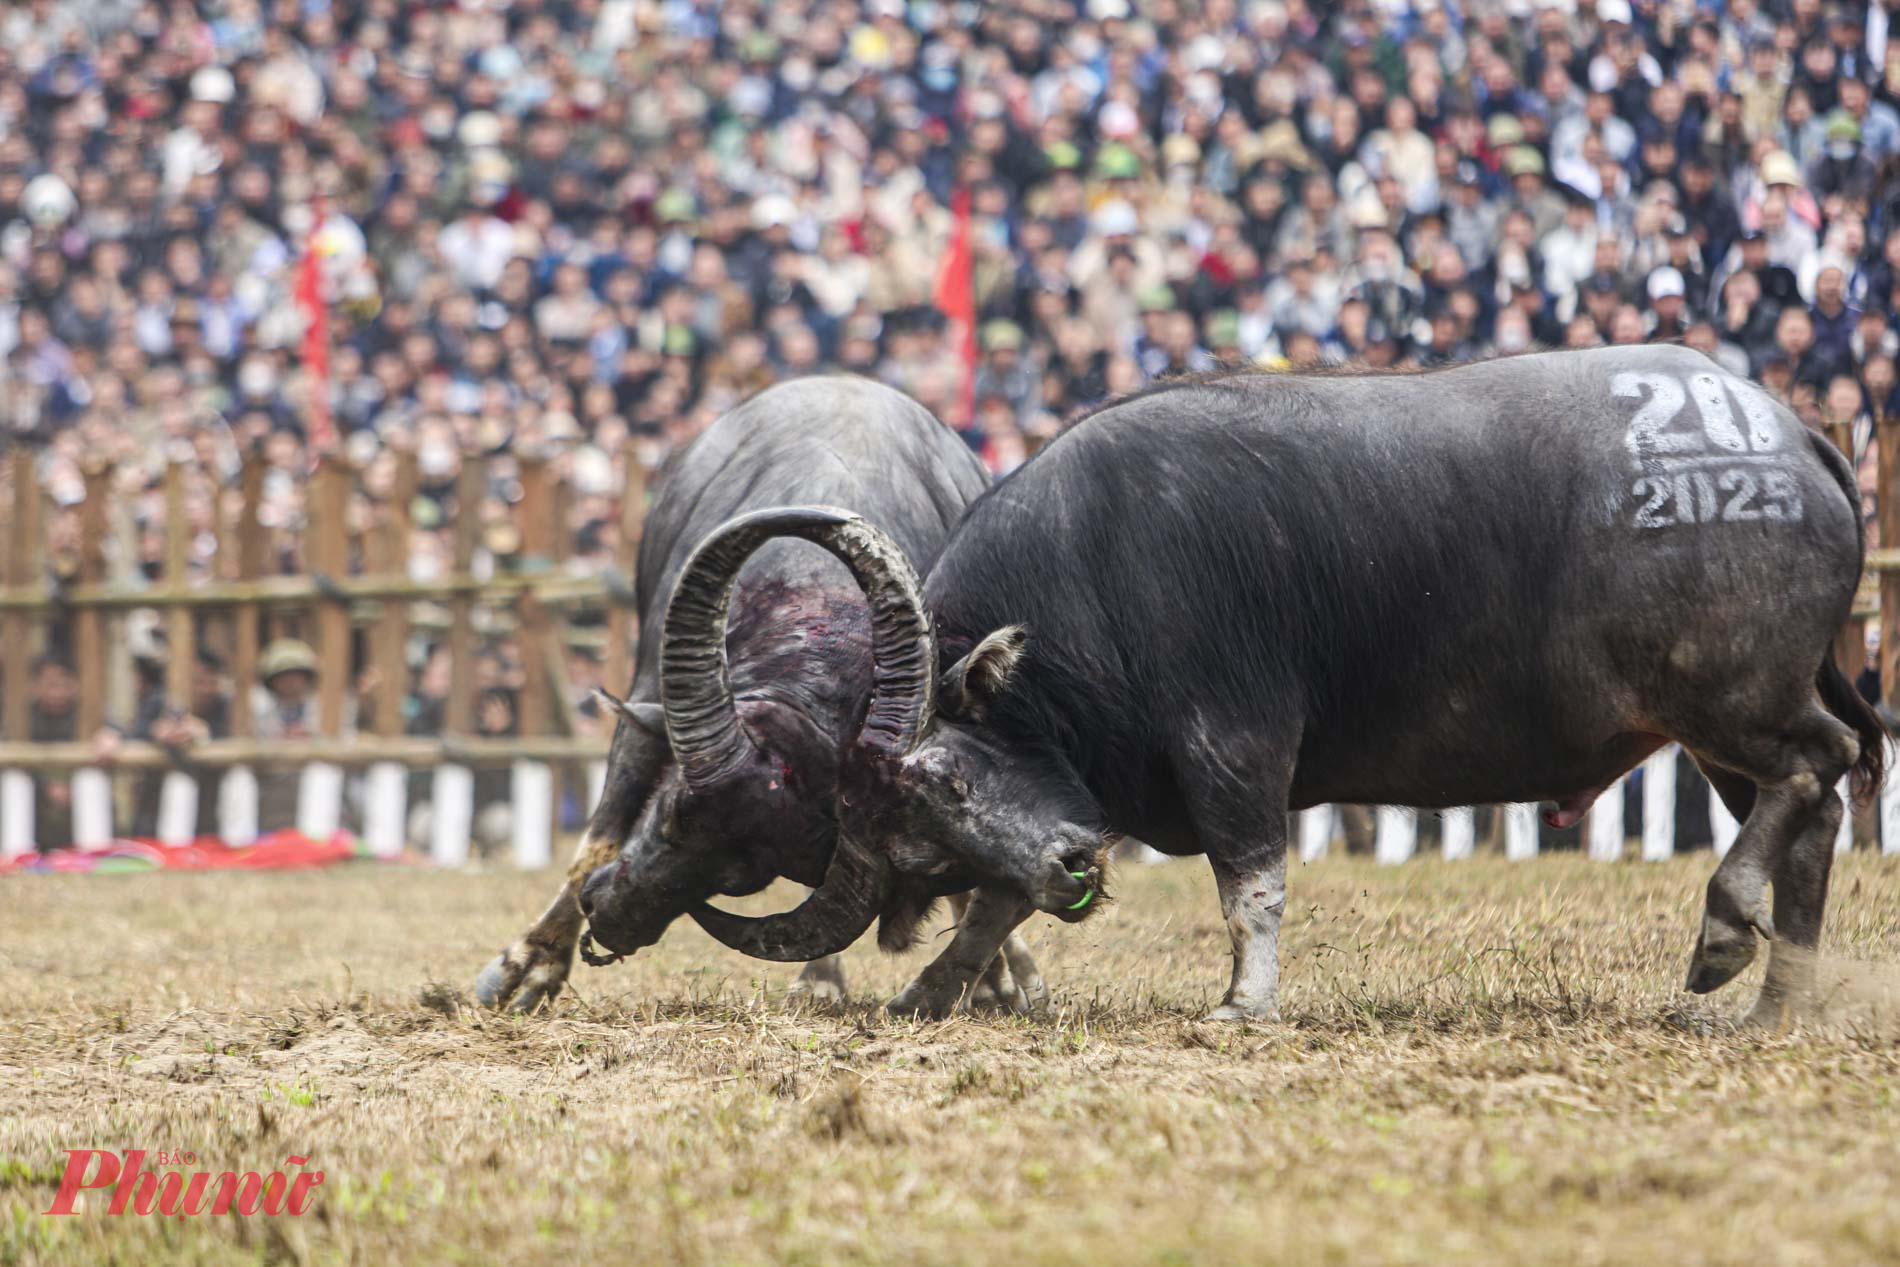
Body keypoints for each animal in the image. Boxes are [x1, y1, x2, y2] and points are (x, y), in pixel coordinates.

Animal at [475, 379, 1041, 1018]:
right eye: (671, 811)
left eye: (738, 879)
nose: (610, 920)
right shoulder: (646, 699)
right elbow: (602, 835)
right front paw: (530, 966)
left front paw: (993, 976)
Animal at [676, 343, 1877, 1018]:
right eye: (921, 844)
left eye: (949, 782)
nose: (1074, 872)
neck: (1098, 574)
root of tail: (1792, 434)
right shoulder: (1082, 796)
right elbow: (993, 908)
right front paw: (930, 989)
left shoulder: (1234, 747)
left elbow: (1247, 879)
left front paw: (1243, 1003)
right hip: (1718, 731)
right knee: (1813, 810)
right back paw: (1784, 1000)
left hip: (1730, 696)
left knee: (1823, 762)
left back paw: (1724, 935)